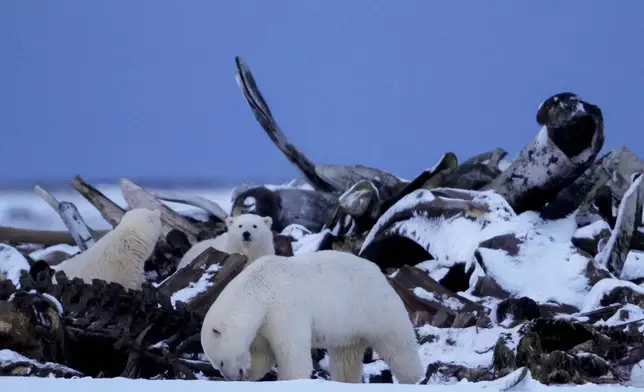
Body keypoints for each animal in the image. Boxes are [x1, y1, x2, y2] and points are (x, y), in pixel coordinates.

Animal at [201, 251, 422, 382]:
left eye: (220, 362)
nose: (232, 378)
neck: (258, 288)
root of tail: (380, 273)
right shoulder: (264, 322)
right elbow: (263, 353)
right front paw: (251, 374)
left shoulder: (284, 306)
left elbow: (292, 353)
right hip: (347, 327)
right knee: (346, 358)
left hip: (374, 307)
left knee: (398, 346)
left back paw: (412, 379)